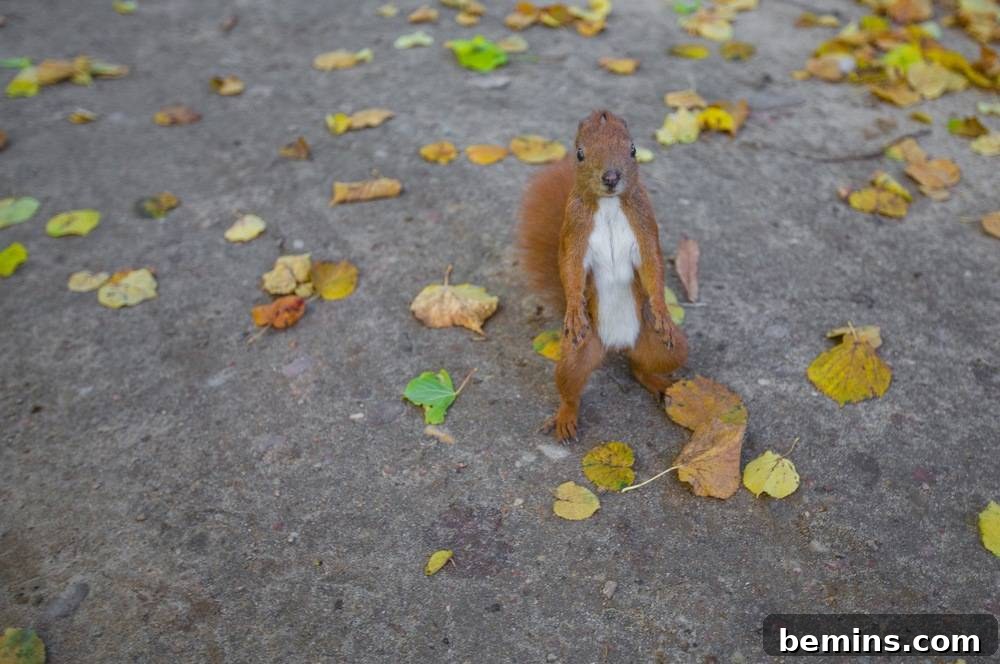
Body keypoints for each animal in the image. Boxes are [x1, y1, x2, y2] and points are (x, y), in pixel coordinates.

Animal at [517, 110, 688, 443]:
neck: (609, 205)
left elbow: (652, 266)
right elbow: (570, 268)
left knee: (640, 367)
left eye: (633, 149)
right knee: (571, 386)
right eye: (579, 153)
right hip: (578, 352)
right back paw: (565, 417)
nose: (611, 177)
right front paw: (574, 307)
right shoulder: (574, 229)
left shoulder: (644, 223)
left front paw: (662, 309)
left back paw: (659, 382)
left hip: (665, 346)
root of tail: (617, 345)